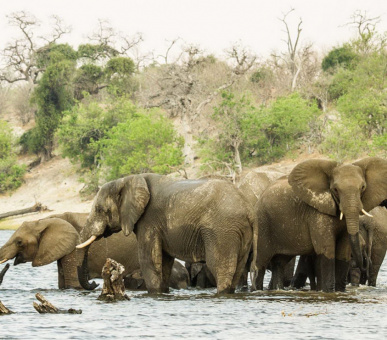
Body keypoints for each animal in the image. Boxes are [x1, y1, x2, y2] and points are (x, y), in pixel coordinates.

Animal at [77, 174, 256, 294]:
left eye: (99, 210)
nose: (94, 284)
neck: (127, 179)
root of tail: (248, 208)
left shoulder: (149, 221)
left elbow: (148, 260)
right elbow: (163, 262)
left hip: (222, 230)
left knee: (220, 266)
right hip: (241, 231)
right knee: (238, 267)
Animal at [253, 157, 387, 292]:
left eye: (363, 187)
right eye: (335, 190)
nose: (364, 264)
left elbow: (343, 252)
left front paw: (339, 292)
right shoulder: (316, 213)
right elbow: (327, 251)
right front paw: (328, 291)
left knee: (279, 263)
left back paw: (277, 289)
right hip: (263, 223)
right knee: (261, 264)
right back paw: (257, 290)